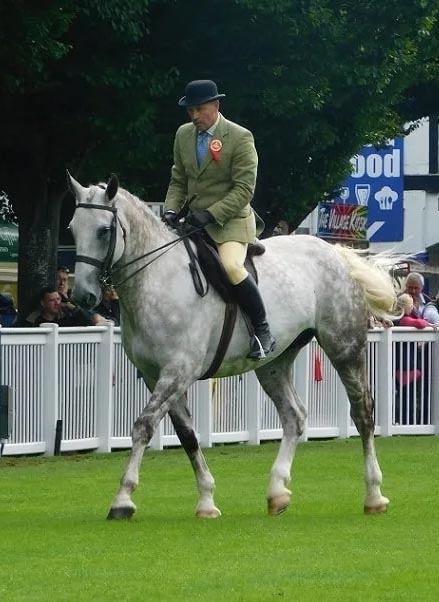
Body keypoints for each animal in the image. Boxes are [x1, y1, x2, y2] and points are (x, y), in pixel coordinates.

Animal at [68, 172, 398, 516]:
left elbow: (144, 426)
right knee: (294, 416)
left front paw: (123, 499)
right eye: (73, 228)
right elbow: (187, 435)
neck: (157, 279)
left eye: (104, 230)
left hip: (344, 348)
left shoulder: (178, 371)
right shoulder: (154, 375)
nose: (82, 296)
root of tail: (335, 252)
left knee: (362, 412)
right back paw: (277, 492)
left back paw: (374, 495)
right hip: (274, 364)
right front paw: (206, 500)